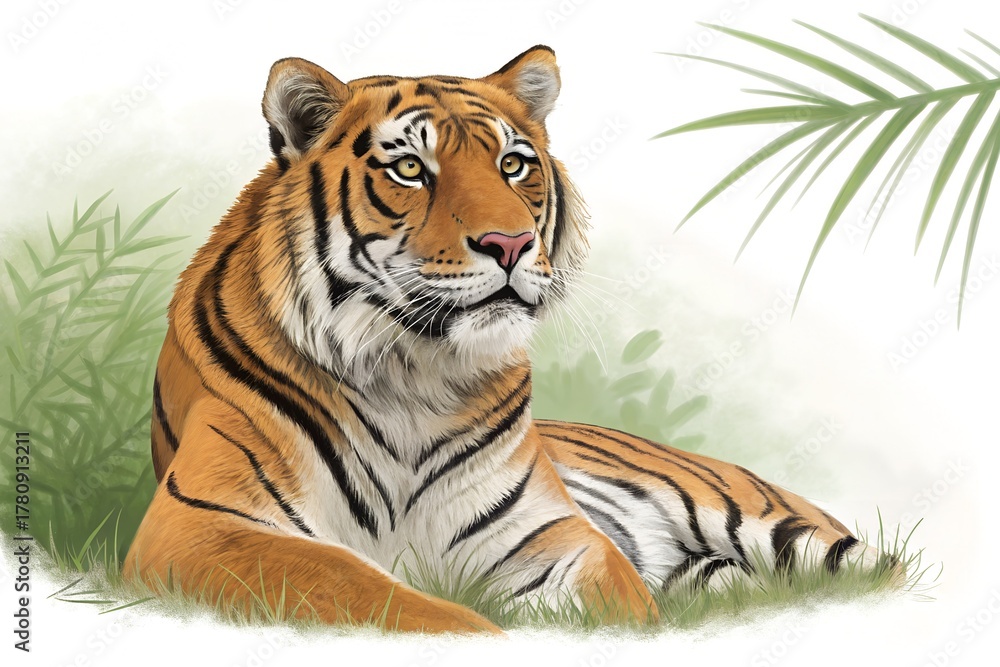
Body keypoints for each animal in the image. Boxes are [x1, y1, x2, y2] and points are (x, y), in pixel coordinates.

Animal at [124, 45, 889, 633]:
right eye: (410, 169)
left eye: (514, 165)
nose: (511, 243)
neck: (412, 374)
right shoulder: (201, 525)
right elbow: (382, 596)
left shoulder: (551, 534)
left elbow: (613, 603)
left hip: (770, 523)